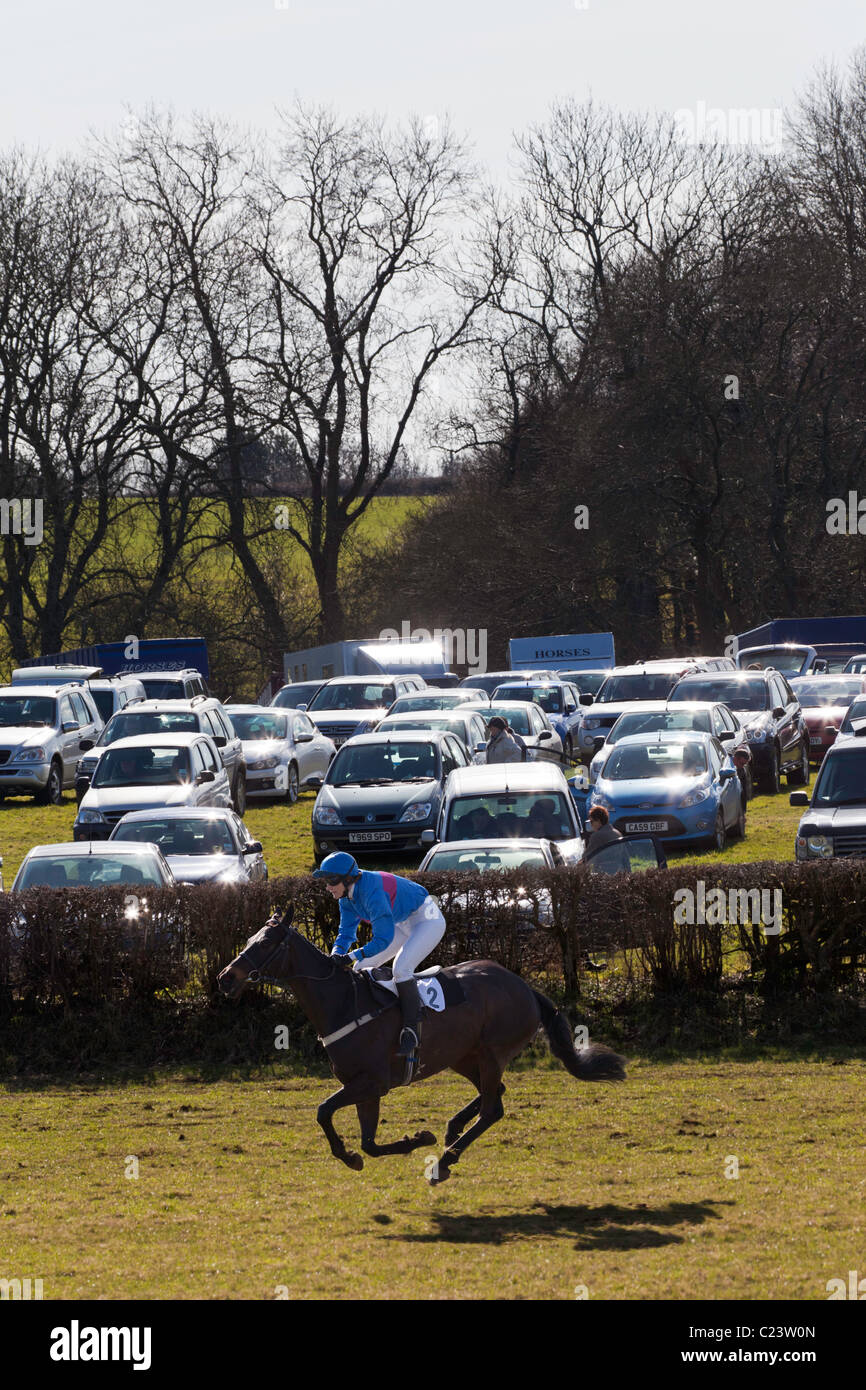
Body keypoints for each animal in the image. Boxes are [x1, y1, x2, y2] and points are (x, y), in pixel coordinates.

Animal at [215, 911, 622, 1184]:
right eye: (248, 940)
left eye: (265, 944)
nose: (225, 978)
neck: (344, 1003)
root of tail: (524, 987)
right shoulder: (364, 1088)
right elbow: (367, 1143)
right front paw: (391, 1146)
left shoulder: (372, 1082)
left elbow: (323, 1110)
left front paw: (367, 1150)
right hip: (463, 1055)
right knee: (496, 1094)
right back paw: (452, 1133)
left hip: (492, 1053)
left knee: (493, 1109)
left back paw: (444, 1161)